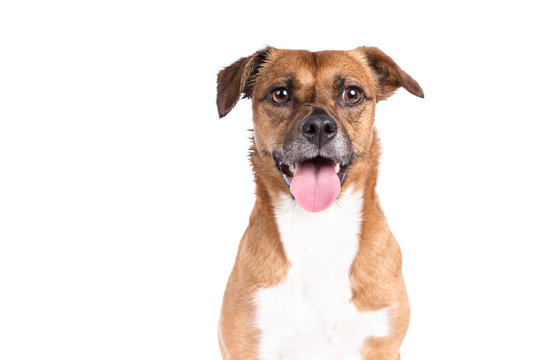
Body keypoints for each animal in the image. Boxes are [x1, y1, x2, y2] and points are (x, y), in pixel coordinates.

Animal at [214, 45, 422, 360]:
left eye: (352, 93)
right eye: (280, 94)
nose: (320, 127)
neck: (318, 226)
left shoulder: (382, 344)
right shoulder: (246, 345)